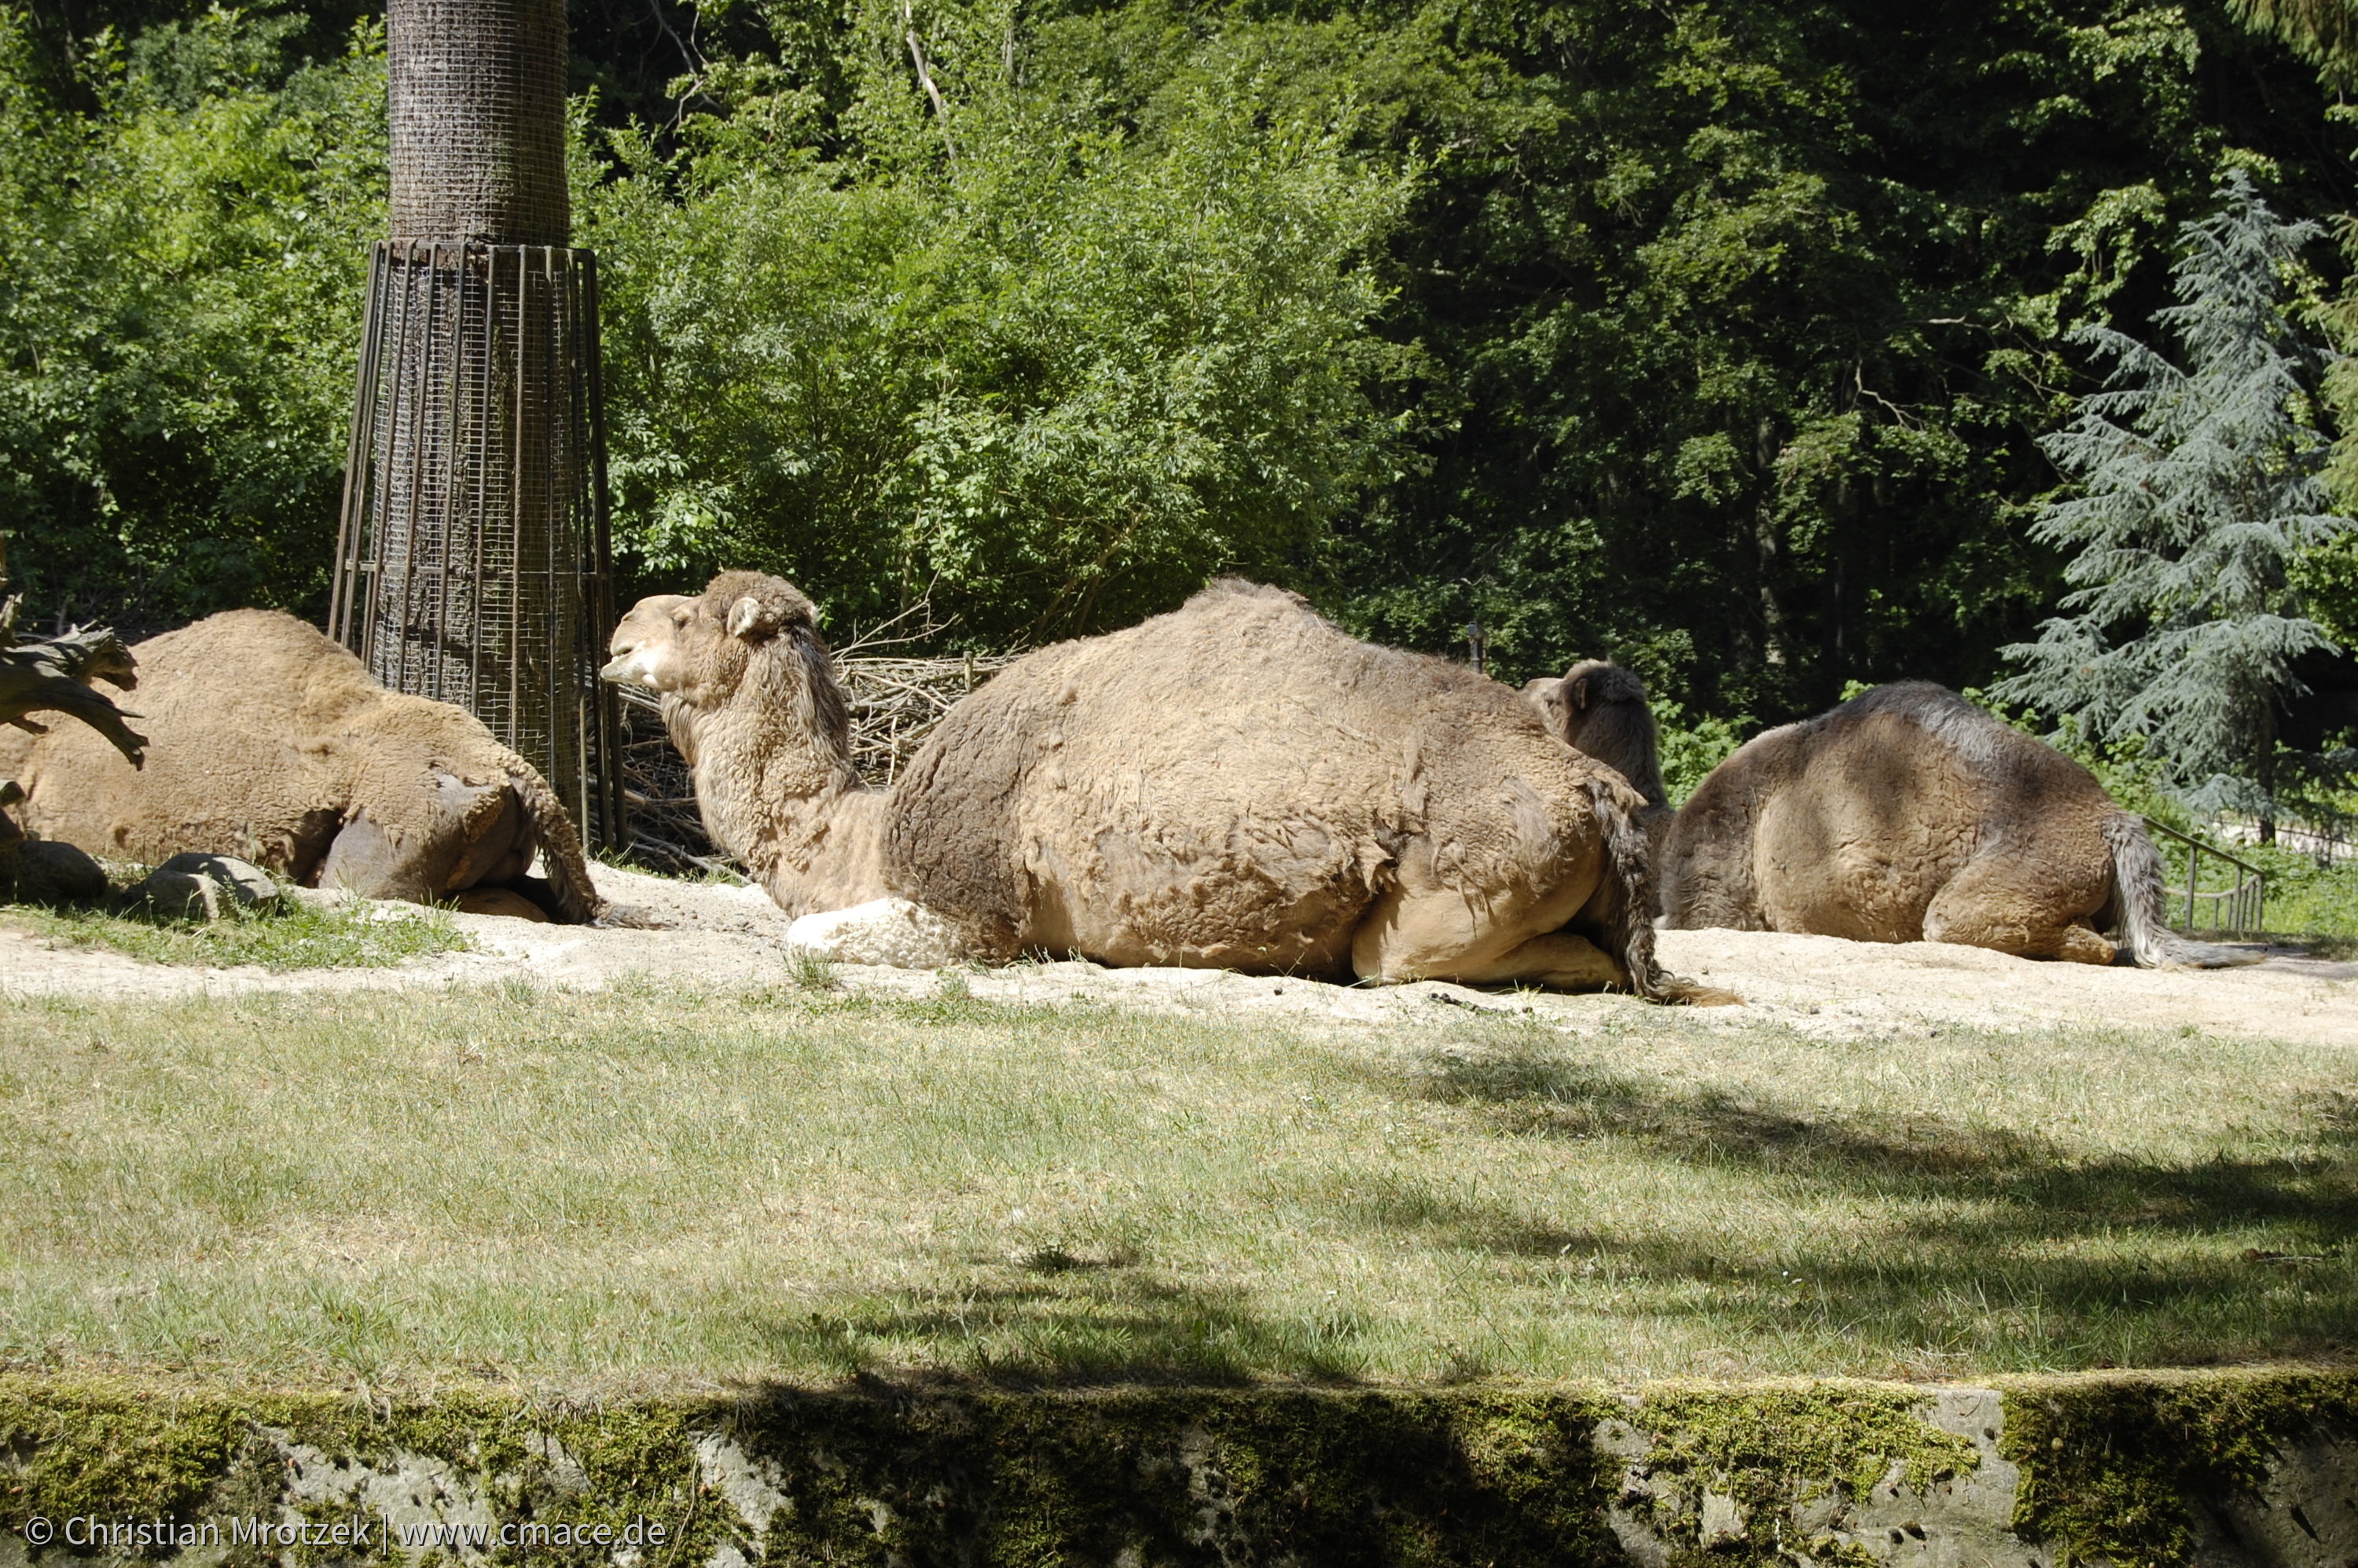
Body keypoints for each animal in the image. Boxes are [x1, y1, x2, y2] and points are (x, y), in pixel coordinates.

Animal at [599, 573, 1688, 990]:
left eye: (689, 618)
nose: (614, 637)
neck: (860, 839)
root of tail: (1603, 795)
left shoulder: (973, 914)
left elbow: (806, 939)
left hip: (1454, 889)